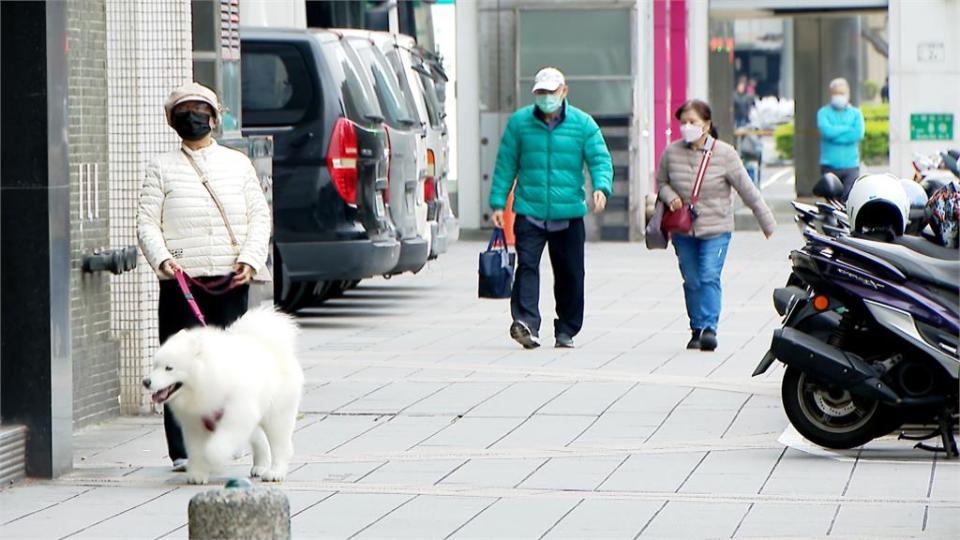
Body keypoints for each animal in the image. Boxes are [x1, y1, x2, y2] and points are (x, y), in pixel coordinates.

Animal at [140, 308, 300, 486]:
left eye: (169, 368)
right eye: (155, 366)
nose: (146, 382)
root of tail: (270, 344)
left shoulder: (236, 416)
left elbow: (217, 447)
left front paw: (213, 461)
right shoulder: (195, 424)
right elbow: (196, 450)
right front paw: (197, 474)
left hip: (277, 416)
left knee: (281, 446)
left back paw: (275, 473)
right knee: (261, 441)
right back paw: (260, 466)